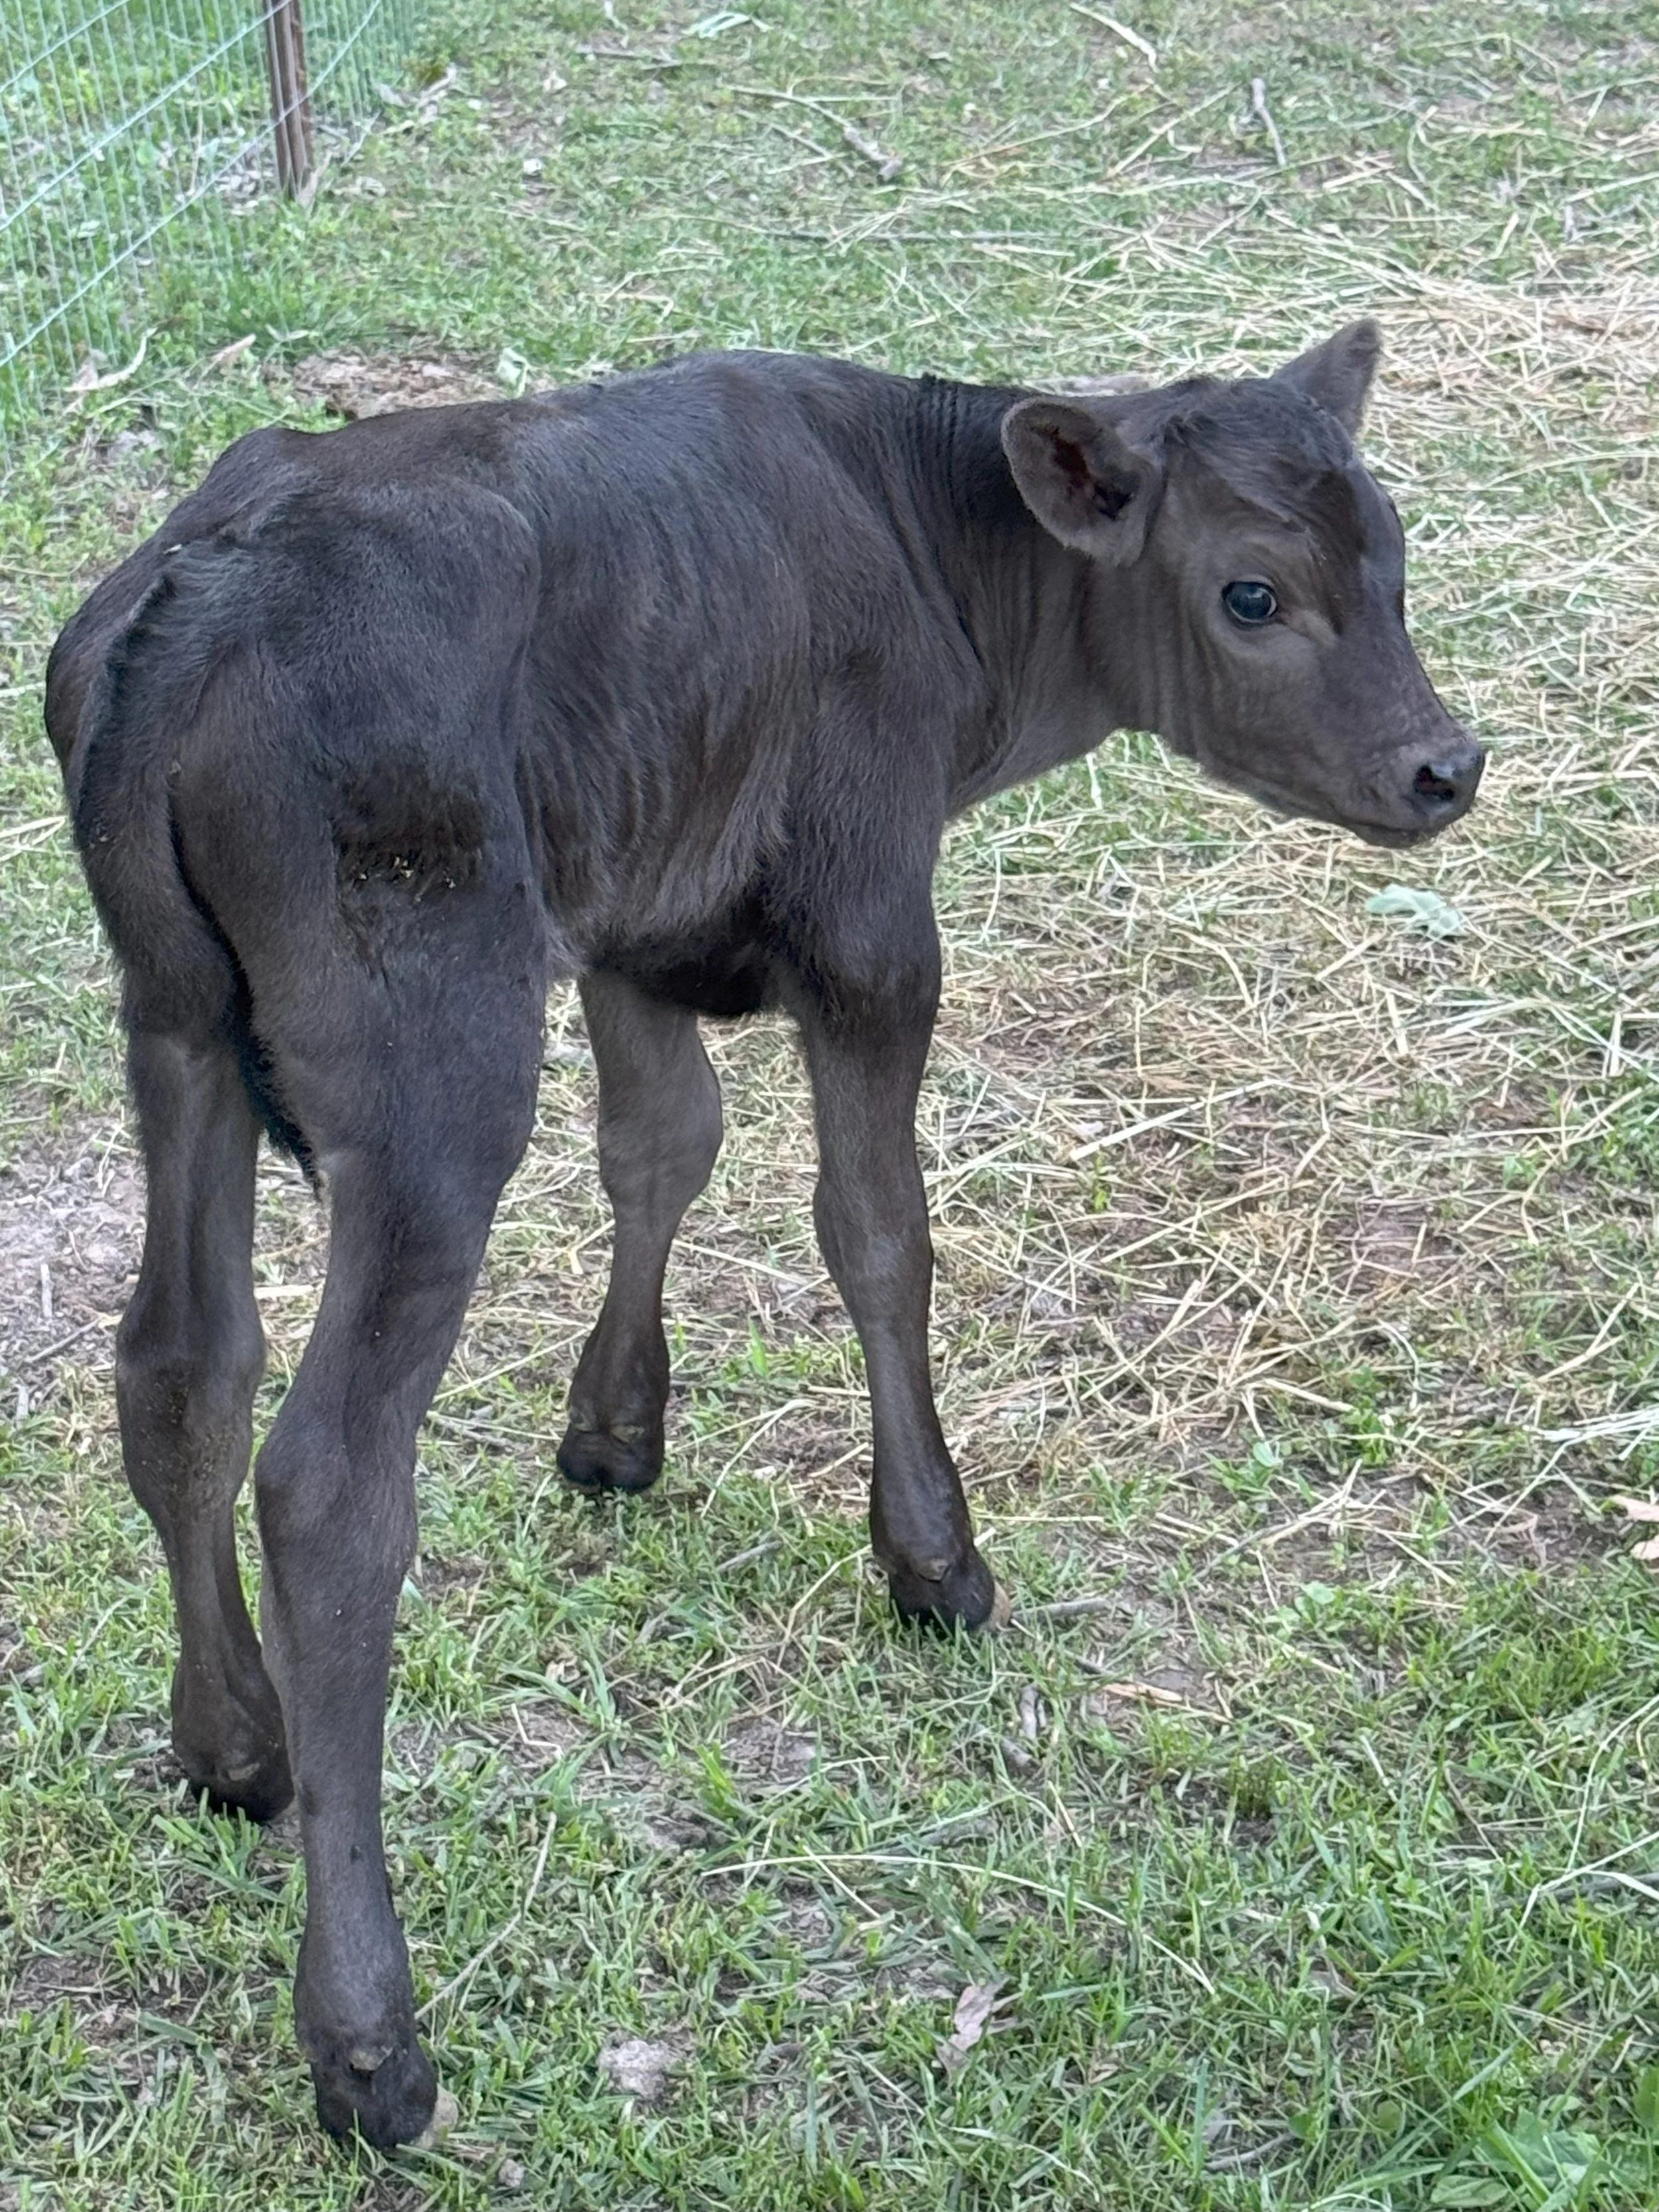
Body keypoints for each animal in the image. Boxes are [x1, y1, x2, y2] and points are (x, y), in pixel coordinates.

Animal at [45, 323, 1482, 2146]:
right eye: (1250, 593)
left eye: (1393, 561)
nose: (1445, 764)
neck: (920, 535)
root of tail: (192, 594)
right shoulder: (870, 921)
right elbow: (875, 1231)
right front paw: (933, 1558)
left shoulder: (637, 918)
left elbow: (664, 1144)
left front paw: (614, 1431)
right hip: (429, 1068)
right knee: (328, 1480)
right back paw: (369, 2038)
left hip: (171, 1024)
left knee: (180, 1373)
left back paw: (234, 1750)